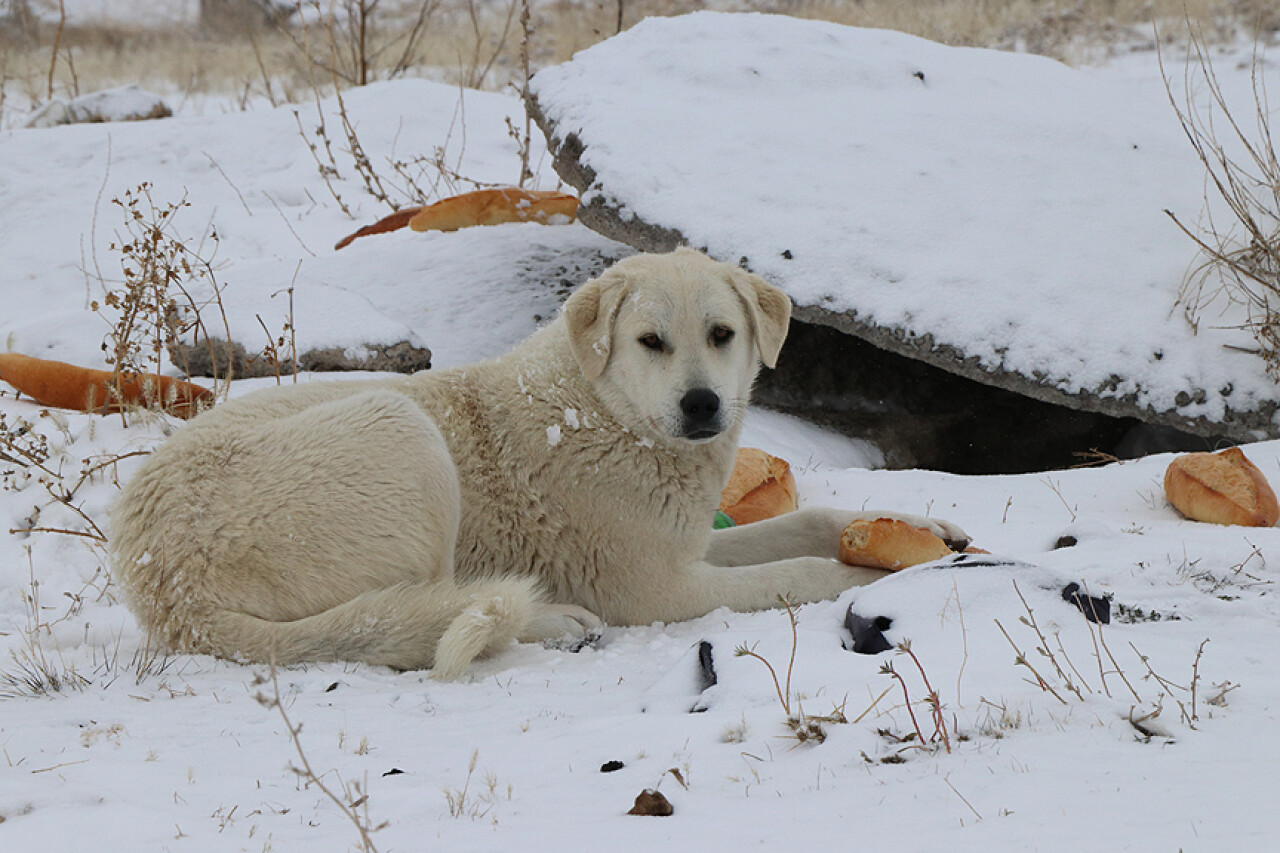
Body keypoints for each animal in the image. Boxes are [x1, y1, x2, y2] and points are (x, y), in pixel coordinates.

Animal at [110, 249, 962, 676]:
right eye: (651, 341)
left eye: (722, 334)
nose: (701, 405)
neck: (605, 410)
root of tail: (164, 584)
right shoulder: (659, 586)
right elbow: (796, 573)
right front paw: (875, 576)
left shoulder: (685, 542)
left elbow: (814, 520)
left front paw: (925, 530)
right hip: (403, 432)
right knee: (414, 624)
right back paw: (554, 621)